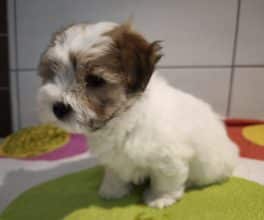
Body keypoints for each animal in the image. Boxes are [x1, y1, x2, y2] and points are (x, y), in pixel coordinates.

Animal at [37, 21, 239, 209]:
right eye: (53, 73)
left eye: (95, 80)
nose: (58, 108)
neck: (122, 119)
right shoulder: (114, 158)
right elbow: (115, 172)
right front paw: (112, 190)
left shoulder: (169, 156)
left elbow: (166, 178)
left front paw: (160, 198)